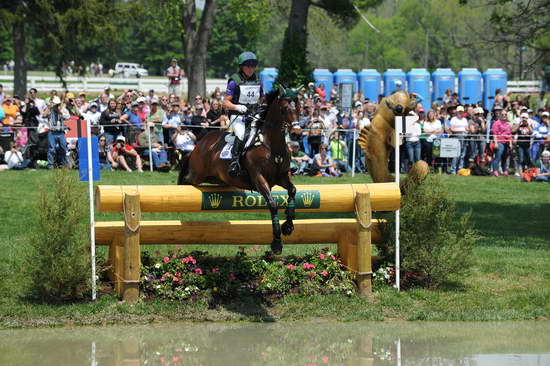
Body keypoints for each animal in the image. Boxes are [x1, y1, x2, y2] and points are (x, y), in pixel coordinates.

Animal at [179, 88, 300, 254]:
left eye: (299, 107)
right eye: (285, 109)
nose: (296, 133)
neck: (271, 145)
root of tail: (200, 143)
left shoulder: (281, 177)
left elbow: (292, 191)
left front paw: (288, 226)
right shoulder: (258, 178)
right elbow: (273, 204)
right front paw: (276, 243)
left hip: (216, 178)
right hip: (197, 174)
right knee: (186, 179)